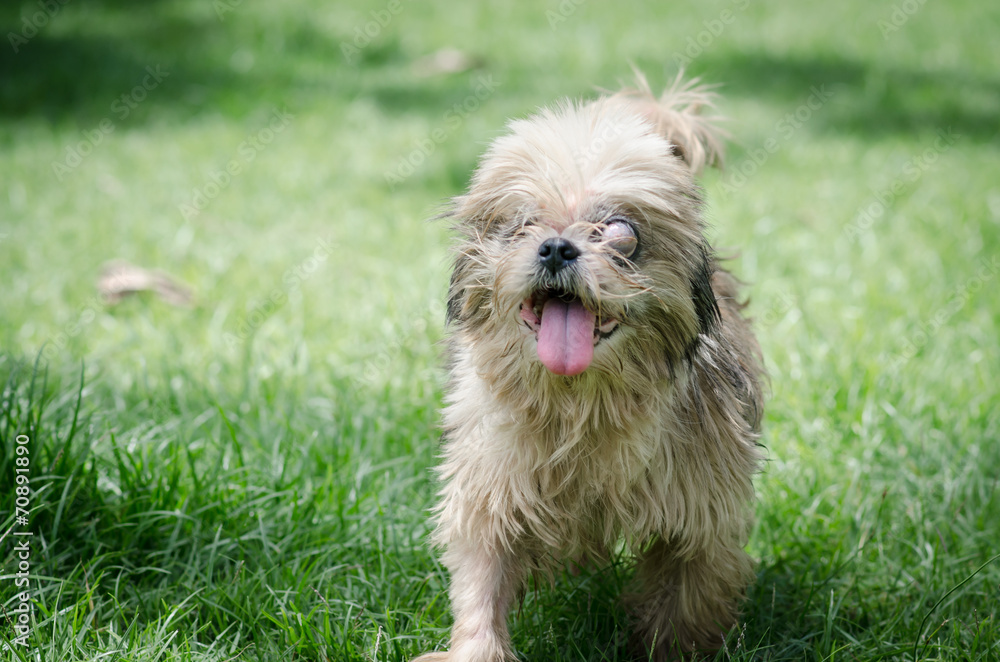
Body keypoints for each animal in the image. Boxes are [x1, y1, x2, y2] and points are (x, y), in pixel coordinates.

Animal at [414, 74, 764, 662]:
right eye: (523, 226)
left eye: (620, 234)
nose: (556, 247)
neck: (583, 402)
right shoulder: (490, 493)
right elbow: (481, 590)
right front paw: (478, 648)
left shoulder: (700, 519)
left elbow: (684, 604)